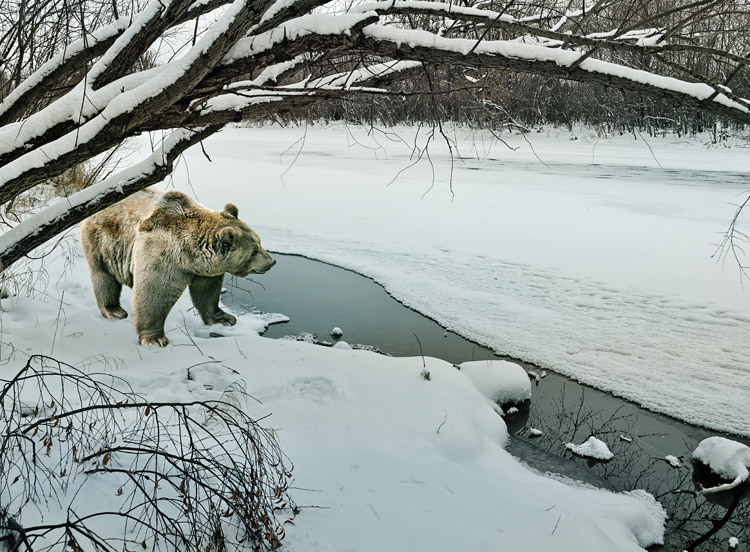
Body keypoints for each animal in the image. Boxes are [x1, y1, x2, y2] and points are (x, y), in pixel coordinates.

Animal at [81, 190, 274, 344]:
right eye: (253, 251)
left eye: (259, 242)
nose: (271, 262)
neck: (189, 255)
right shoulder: (162, 256)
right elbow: (153, 293)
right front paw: (155, 339)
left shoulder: (205, 270)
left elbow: (207, 292)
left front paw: (225, 318)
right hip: (104, 243)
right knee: (104, 277)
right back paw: (114, 310)